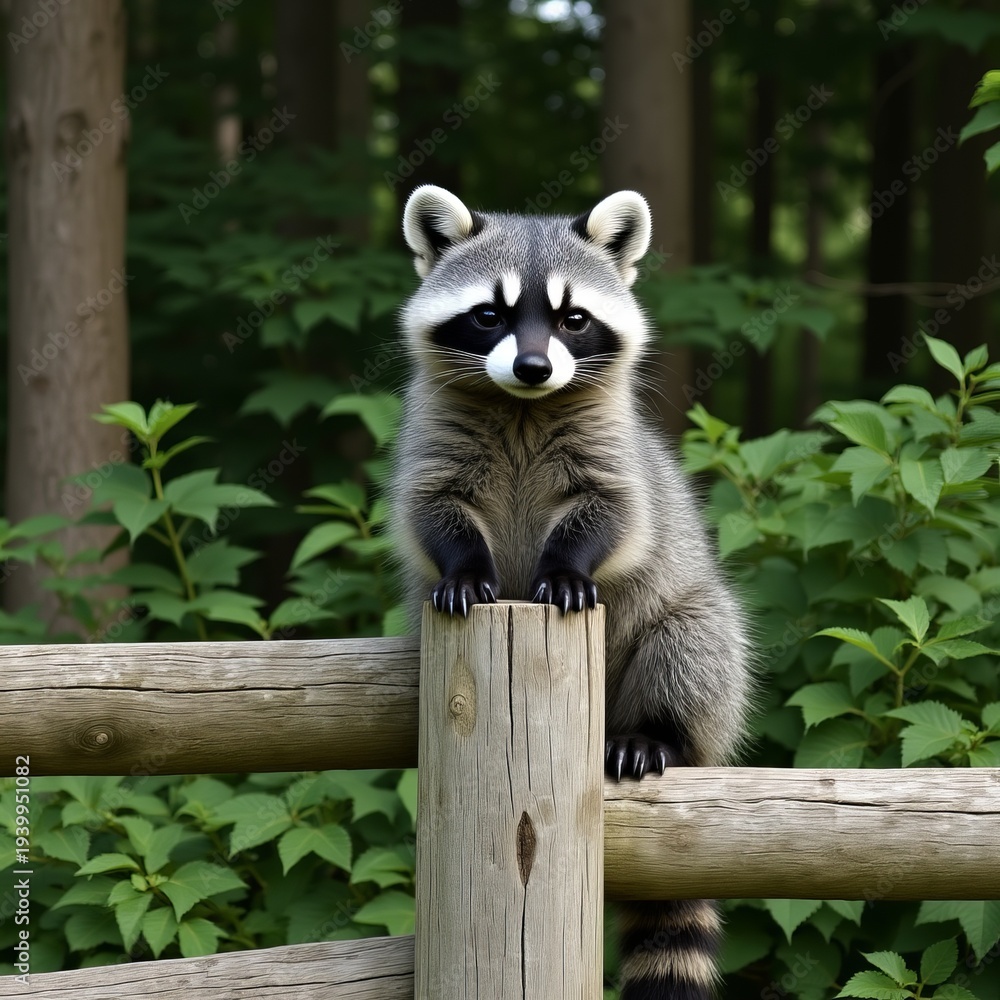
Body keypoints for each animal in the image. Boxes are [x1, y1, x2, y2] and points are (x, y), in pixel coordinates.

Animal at [392, 184, 751, 1000]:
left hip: (693, 637)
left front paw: (566, 566)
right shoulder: (433, 441)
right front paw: (462, 567)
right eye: (488, 314)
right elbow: (431, 512)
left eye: (572, 319)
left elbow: (618, 515)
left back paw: (658, 733)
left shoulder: (616, 451)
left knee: (694, 645)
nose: (532, 366)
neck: (522, 406)